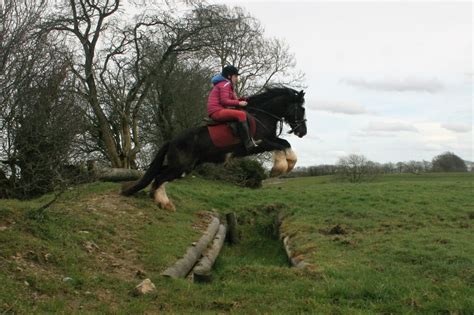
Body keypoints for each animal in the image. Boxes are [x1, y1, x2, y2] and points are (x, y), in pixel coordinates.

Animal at [121, 86, 308, 212]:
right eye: (301, 109)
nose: (303, 132)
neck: (261, 115)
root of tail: (172, 141)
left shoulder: (269, 141)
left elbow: (284, 144)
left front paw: (285, 166)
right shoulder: (261, 143)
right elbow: (283, 145)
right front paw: (280, 169)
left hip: (183, 166)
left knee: (158, 175)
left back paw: (159, 199)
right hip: (181, 166)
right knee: (159, 178)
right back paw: (164, 202)